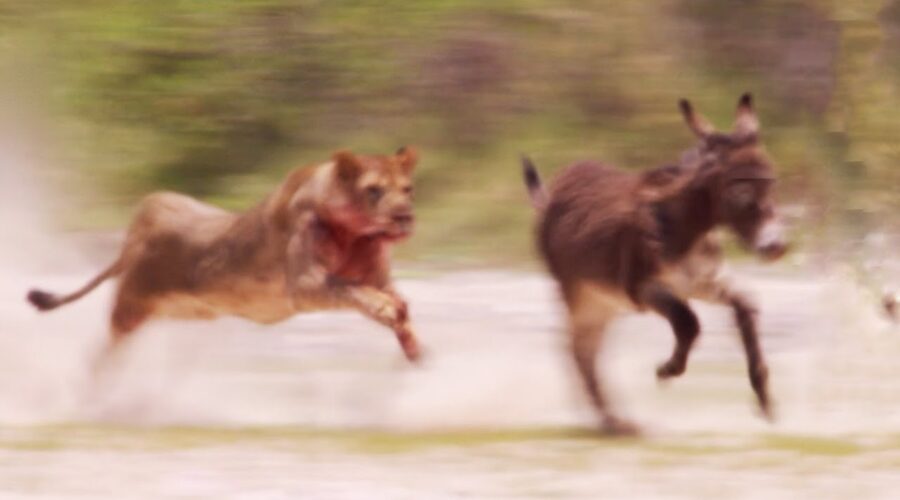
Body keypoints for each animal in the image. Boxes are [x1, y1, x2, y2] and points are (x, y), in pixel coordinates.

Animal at [26, 146, 422, 370]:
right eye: (374, 191)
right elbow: (349, 289)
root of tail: (135, 235)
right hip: (129, 310)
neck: (358, 234)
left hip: (178, 312)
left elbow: (394, 301)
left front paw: (414, 347)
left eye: (407, 189)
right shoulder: (305, 286)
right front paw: (386, 309)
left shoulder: (379, 278)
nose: (405, 216)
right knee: (100, 357)